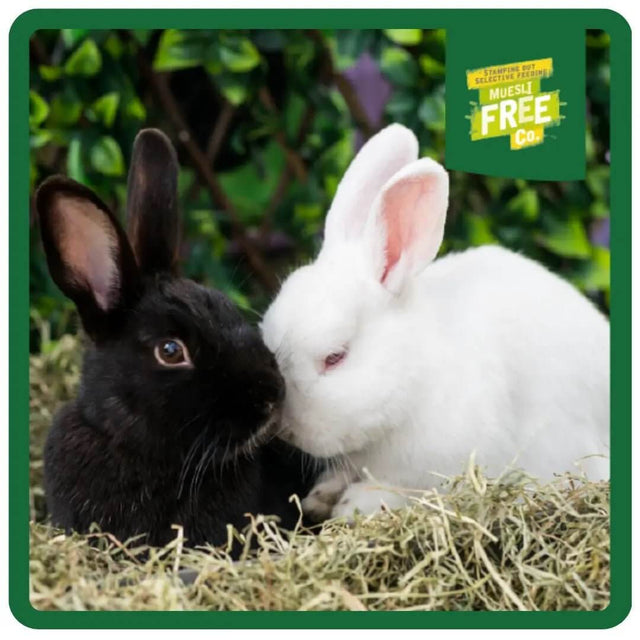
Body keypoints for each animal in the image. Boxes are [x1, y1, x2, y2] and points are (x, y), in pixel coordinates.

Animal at [260, 123, 610, 521]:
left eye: (335, 357)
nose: (283, 428)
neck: (416, 375)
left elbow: (409, 492)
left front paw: (354, 505)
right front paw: (322, 495)